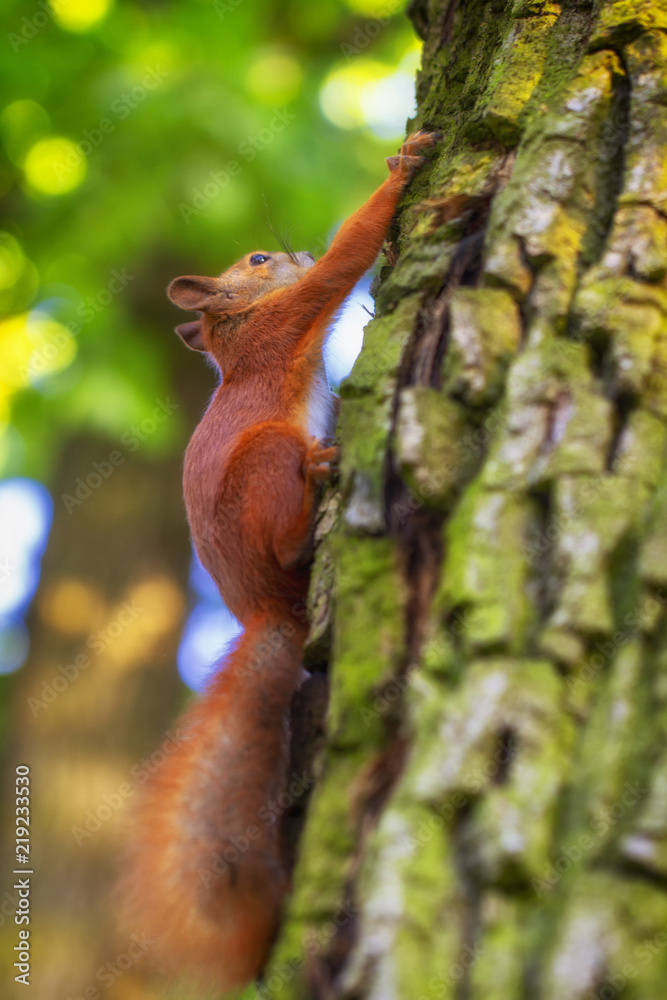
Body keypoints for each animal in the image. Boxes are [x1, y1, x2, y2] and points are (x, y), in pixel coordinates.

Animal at [118, 131, 444, 992]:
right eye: (260, 259)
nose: (288, 248)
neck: (238, 341)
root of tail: (269, 606)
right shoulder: (291, 317)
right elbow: (346, 260)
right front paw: (400, 170)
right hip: (268, 458)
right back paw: (315, 494)